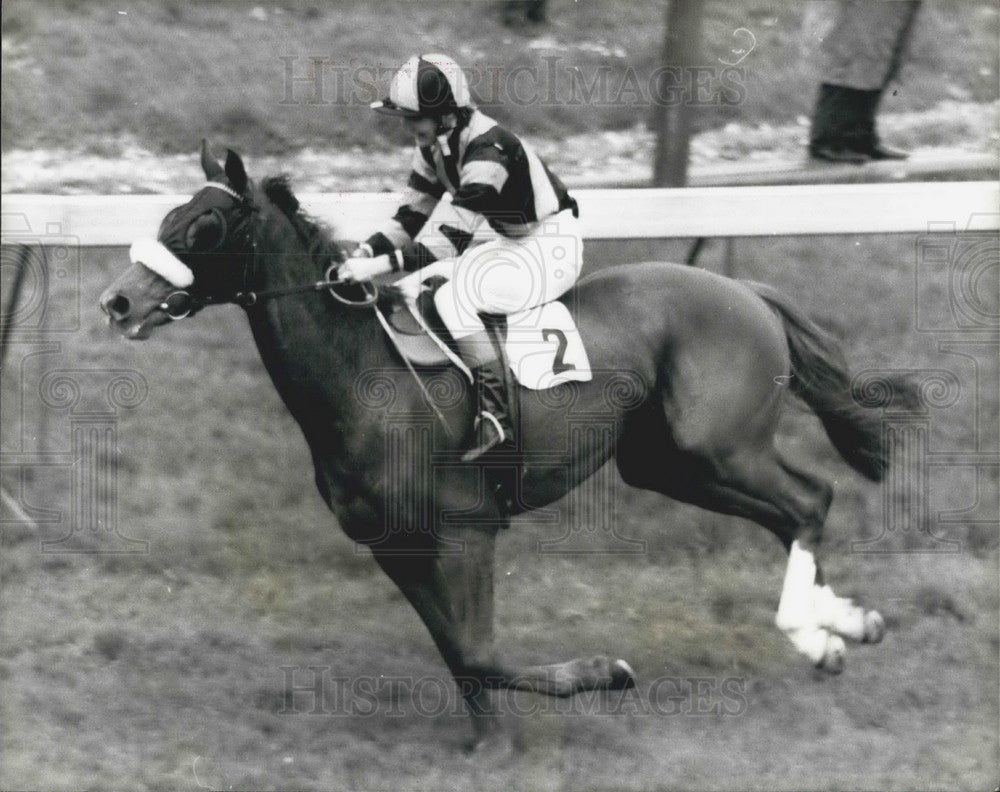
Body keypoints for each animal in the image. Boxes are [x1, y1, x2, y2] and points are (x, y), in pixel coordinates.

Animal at [101, 144, 916, 748]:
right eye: (169, 213)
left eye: (205, 226)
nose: (118, 299)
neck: (363, 373)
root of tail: (747, 292)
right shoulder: (394, 544)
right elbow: (461, 656)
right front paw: (491, 743)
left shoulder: (465, 530)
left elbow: (480, 652)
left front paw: (605, 672)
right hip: (667, 465)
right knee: (794, 510)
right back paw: (840, 629)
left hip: (714, 447)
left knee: (809, 500)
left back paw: (822, 632)